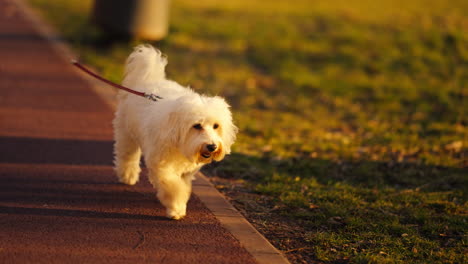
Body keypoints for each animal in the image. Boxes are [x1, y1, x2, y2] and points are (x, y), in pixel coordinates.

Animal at [113, 44, 238, 219]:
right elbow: (173, 187)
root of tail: (147, 80)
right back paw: (128, 176)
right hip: (127, 133)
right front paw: (176, 208)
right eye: (197, 126)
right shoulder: (162, 166)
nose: (212, 146)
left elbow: (183, 186)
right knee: (127, 155)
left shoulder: (186, 172)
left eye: (216, 126)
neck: (179, 141)